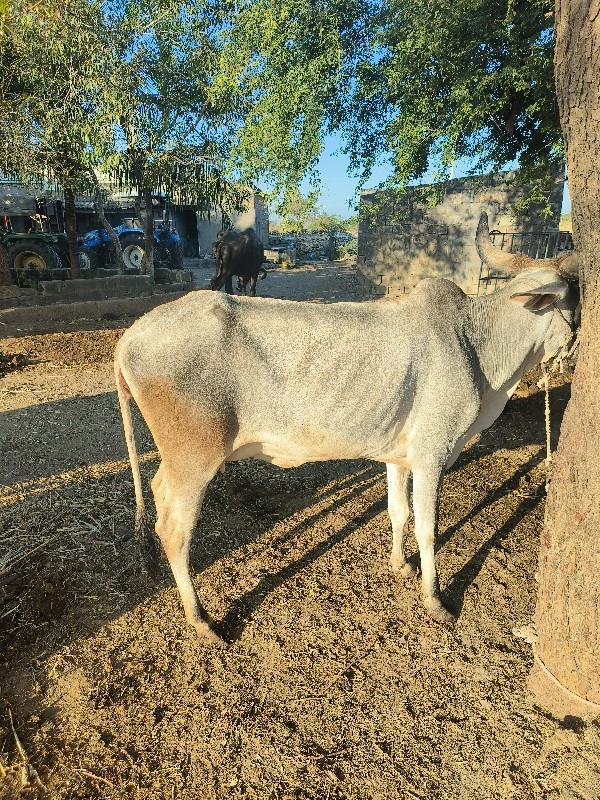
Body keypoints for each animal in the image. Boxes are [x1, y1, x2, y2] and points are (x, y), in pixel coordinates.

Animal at [115, 216, 580, 640]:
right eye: (576, 297)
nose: (574, 345)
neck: (476, 342)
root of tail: (131, 335)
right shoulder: (432, 455)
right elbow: (428, 530)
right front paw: (434, 599)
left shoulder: (400, 455)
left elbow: (398, 511)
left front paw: (399, 564)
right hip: (194, 459)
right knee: (174, 529)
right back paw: (201, 619)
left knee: (157, 495)